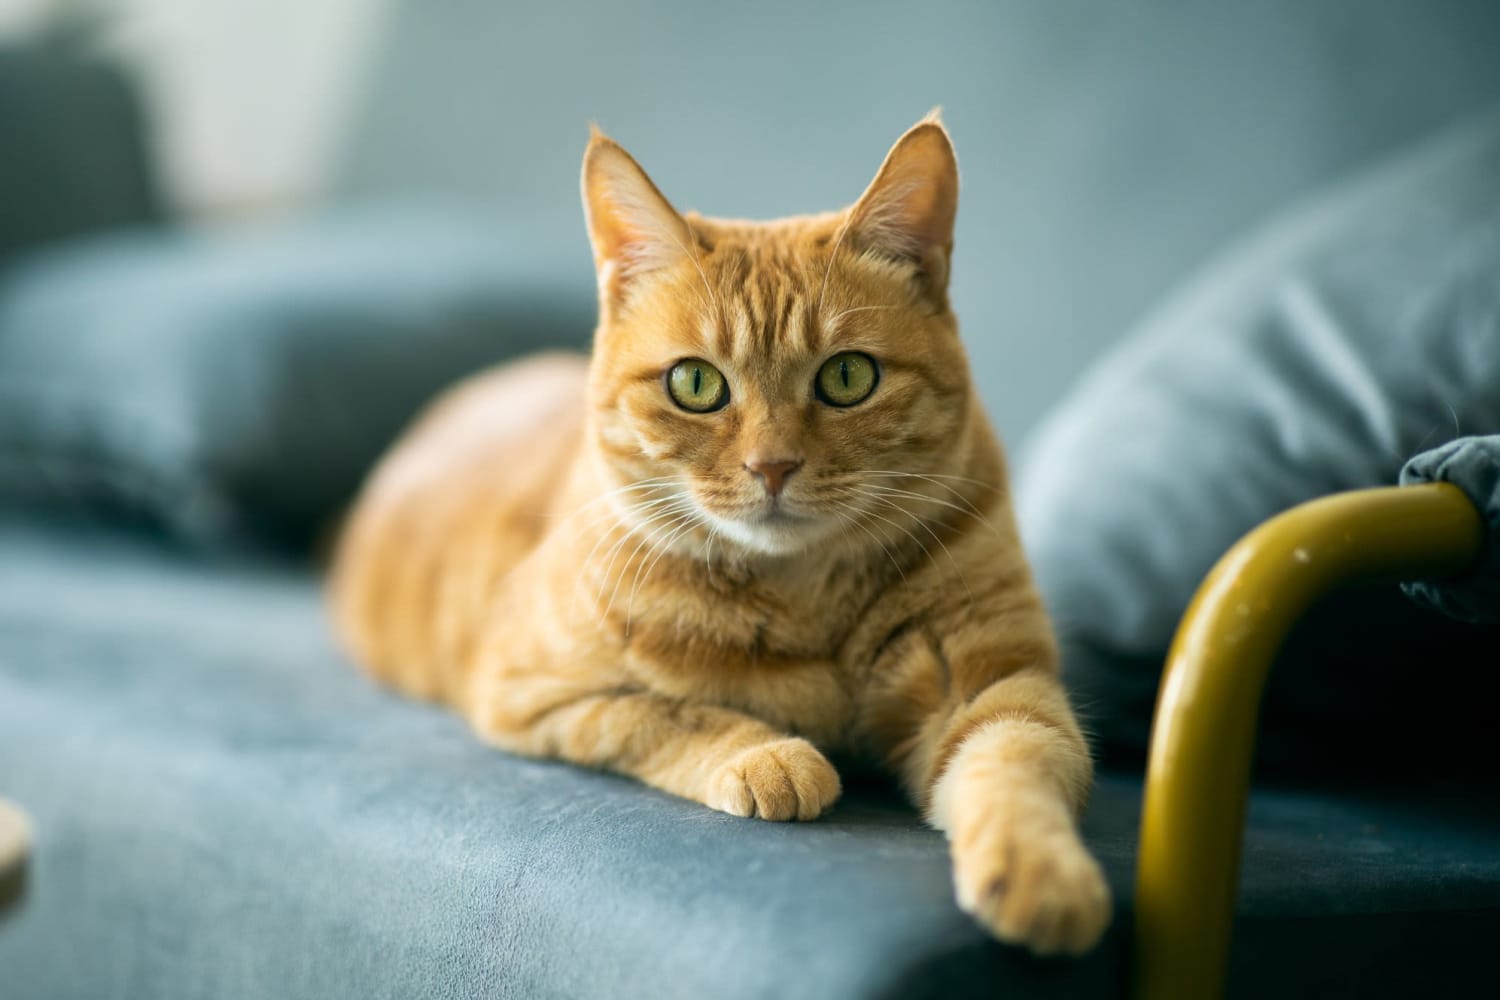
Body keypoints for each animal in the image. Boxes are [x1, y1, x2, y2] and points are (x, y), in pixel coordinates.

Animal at [328, 113, 1116, 959]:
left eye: (848, 377)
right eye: (696, 384)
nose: (772, 466)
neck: (803, 597)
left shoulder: (994, 685)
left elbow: (1017, 763)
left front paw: (1044, 876)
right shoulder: (532, 692)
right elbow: (665, 713)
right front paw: (769, 755)